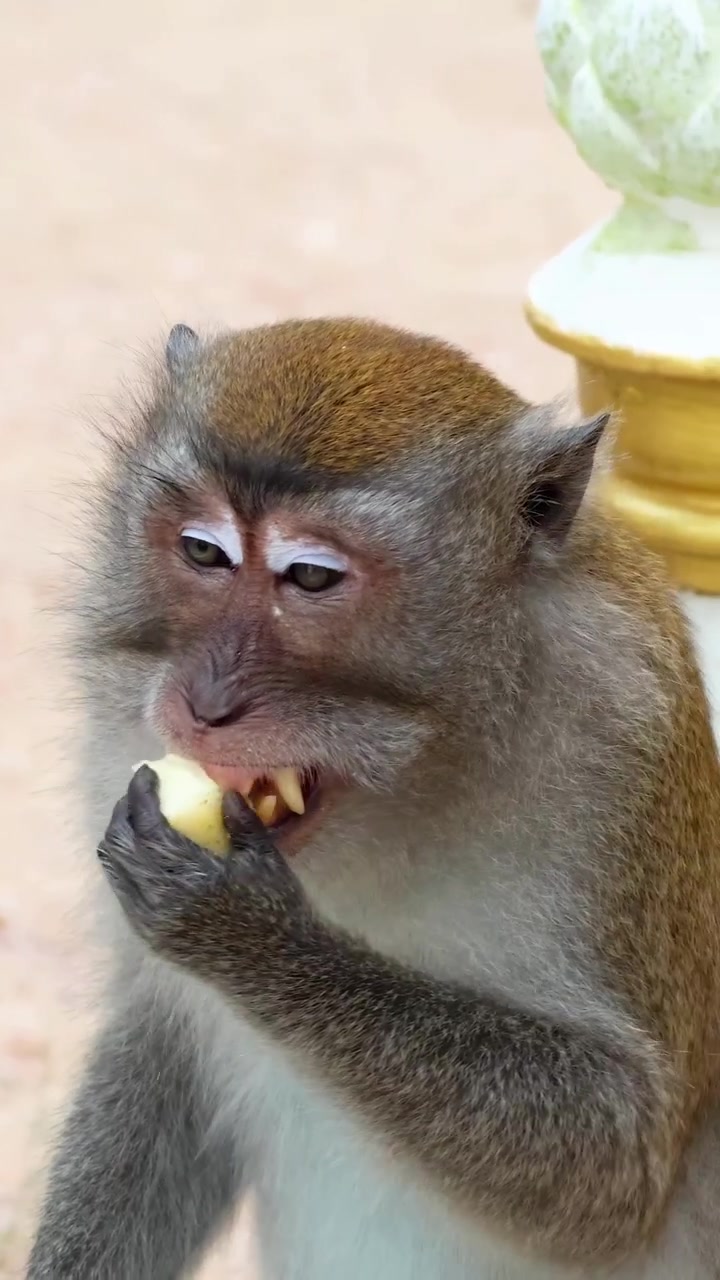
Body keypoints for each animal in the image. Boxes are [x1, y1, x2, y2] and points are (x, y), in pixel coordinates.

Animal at [26, 317, 720, 1280]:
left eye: (311, 577)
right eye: (203, 552)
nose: (205, 703)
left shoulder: (626, 740)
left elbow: (620, 1159)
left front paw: (251, 936)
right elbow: (157, 1047)